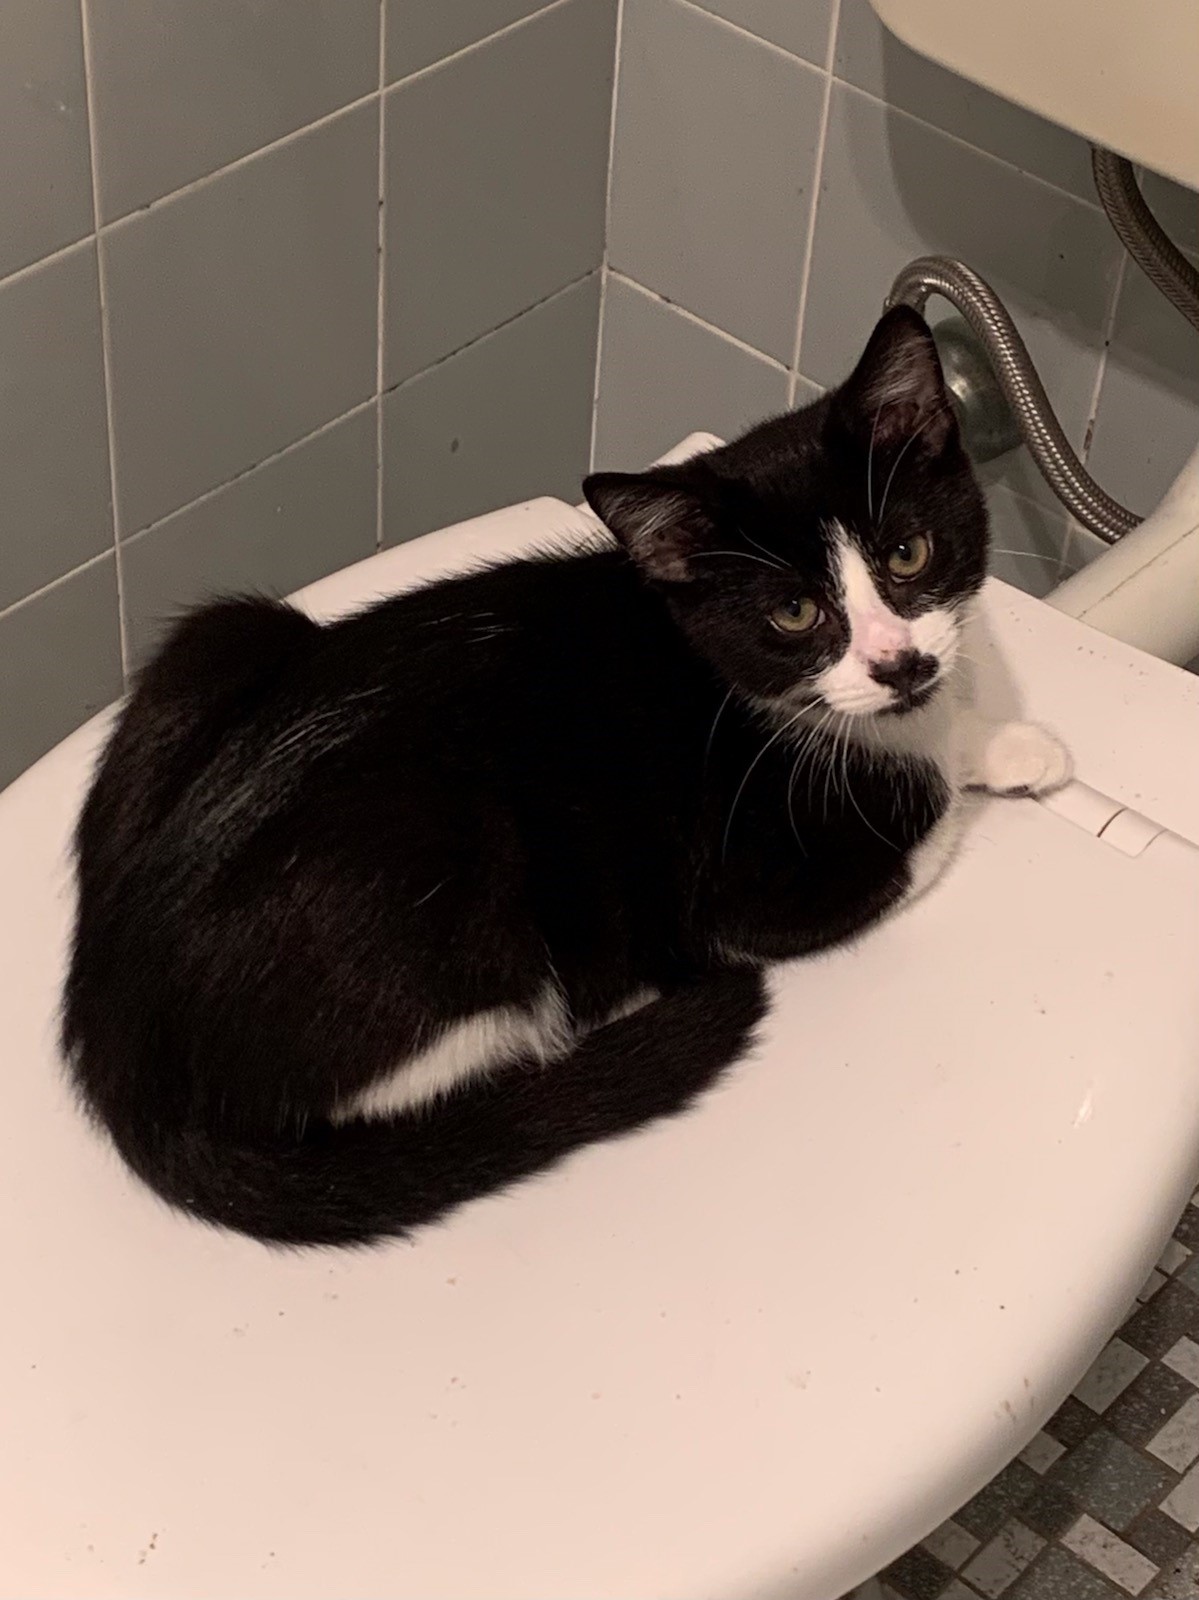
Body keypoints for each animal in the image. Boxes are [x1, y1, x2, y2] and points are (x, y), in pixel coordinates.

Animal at [62, 306, 1069, 1247]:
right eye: (792, 612)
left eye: (907, 554)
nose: (898, 665)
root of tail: (117, 1041)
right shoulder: (735, 887)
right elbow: (917, 831)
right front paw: (967, 751)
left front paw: (1003, 738)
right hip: (457, 873)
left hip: (228, 637)